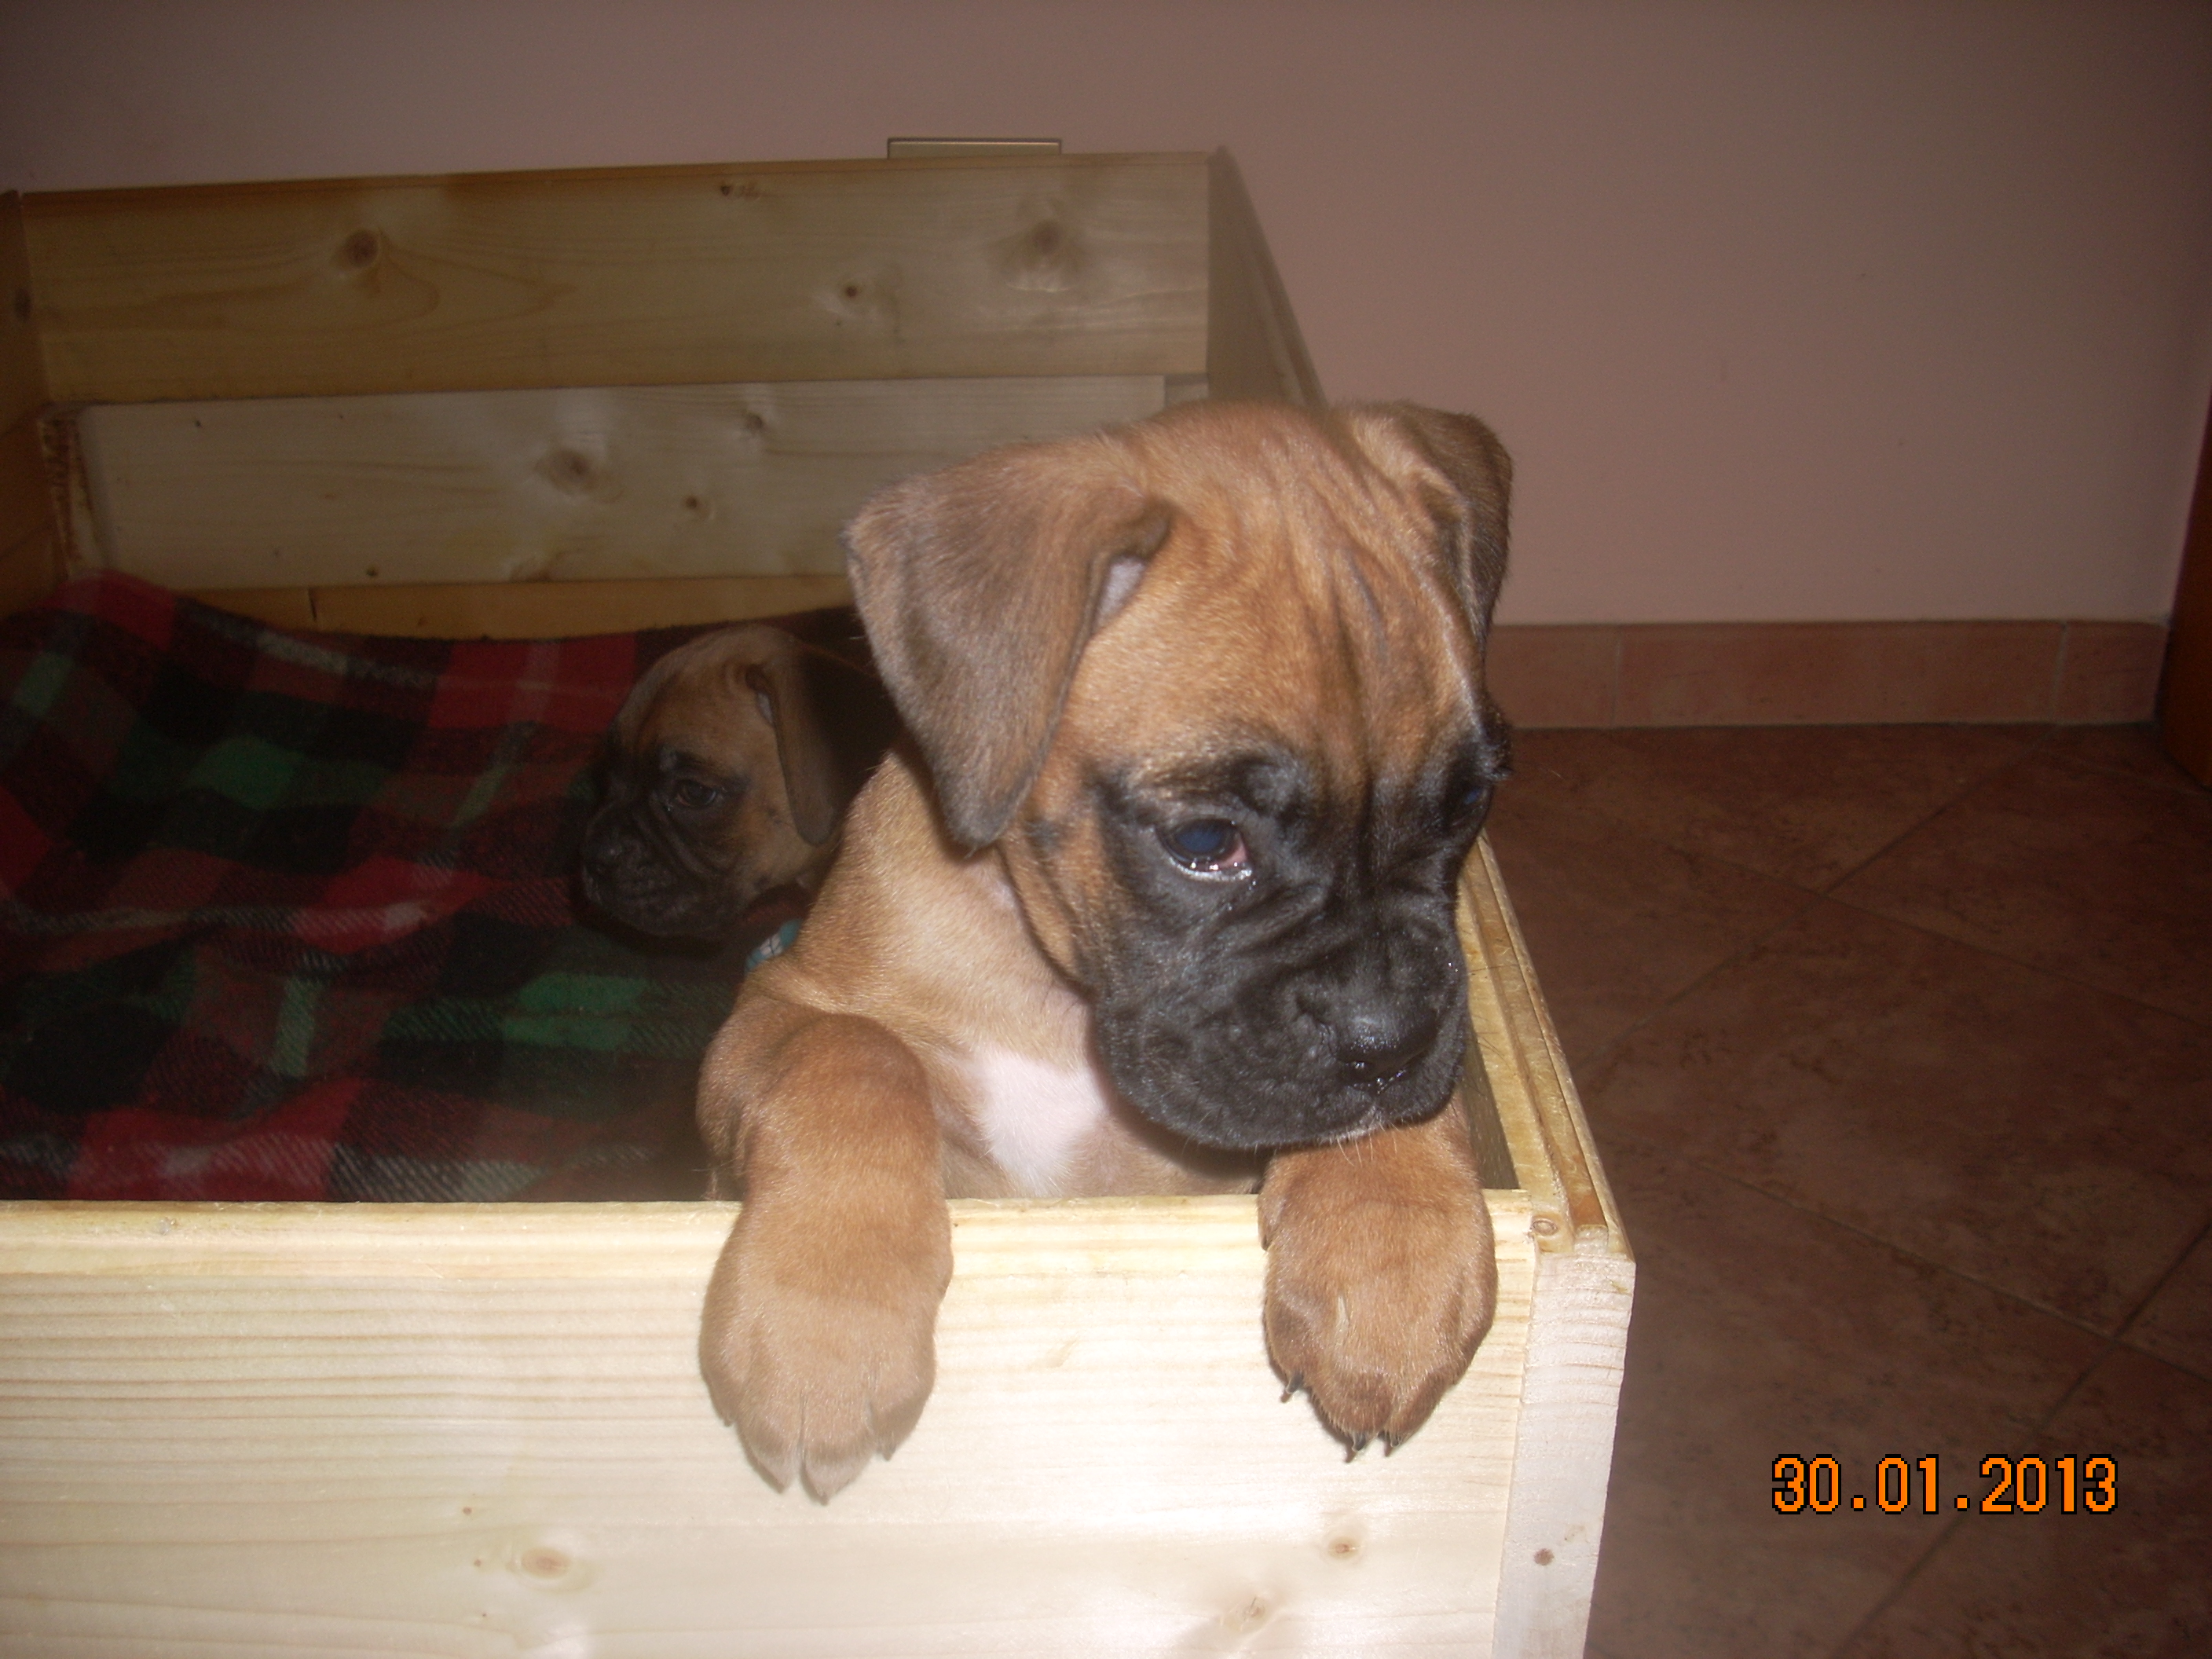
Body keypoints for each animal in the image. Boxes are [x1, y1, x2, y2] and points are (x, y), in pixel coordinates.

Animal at [696, 399, 1513, 1501]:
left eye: (1465, 806)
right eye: (1205, 841)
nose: (1387, 1044)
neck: (1059, 993)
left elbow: (1414, 1111)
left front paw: (1389, 1246)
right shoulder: (776, 1014)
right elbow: (851, 1058)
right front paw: (825, 1310)